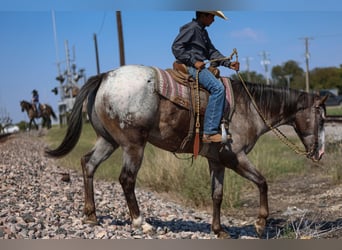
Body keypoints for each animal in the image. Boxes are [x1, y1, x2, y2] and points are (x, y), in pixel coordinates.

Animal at [44, 64, 328, 238]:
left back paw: (91, 215)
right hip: (133, 145)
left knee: (88, 164)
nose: (319, 154)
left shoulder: (217, 161)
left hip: (108, 140)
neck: (248, 107)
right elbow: (262, 182)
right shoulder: (235, 157)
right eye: (323, 118)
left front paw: (218, 230)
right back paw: (140, 222)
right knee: (126, 179)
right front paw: (259, 224)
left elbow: (217, 195)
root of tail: (105, 76)